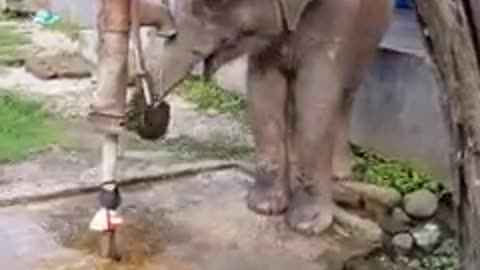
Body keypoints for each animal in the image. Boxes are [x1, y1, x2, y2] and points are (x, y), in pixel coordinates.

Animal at [152, 0, 392, 235]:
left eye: (214, 5)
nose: (155, 107)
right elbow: (263, 90)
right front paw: (263, 207)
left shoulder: (337, 18)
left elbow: (315, 97)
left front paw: (307, 226)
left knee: (346, 95)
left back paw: (340, 174)